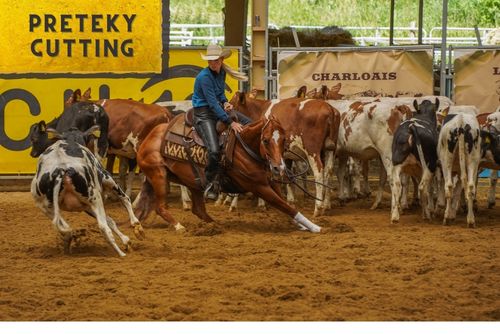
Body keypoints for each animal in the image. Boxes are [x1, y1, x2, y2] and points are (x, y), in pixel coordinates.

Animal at [31, 126, 144, 258]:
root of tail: (61, 170)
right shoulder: (104, 179)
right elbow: (124, 199)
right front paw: (135, 226)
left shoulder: (86, 206)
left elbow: (110, 220)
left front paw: (126, 240)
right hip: (95, 197)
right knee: (104, 227)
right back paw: (121, 253)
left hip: (46, 206)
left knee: (65, 228)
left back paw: (68, 244)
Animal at [133, 112, 320, 232]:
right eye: (266, 140)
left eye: (284, 140)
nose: (278, 168)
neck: (244, 148)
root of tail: (149, 137)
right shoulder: (259, 187)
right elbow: (285, 206)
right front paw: (315, 227)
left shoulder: (270, 183)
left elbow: (286, 204)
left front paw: (302, 225)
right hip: (159, 175)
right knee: (160, 207)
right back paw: (179, 226)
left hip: (191, 182)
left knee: (198, 210)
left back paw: (215, 226)